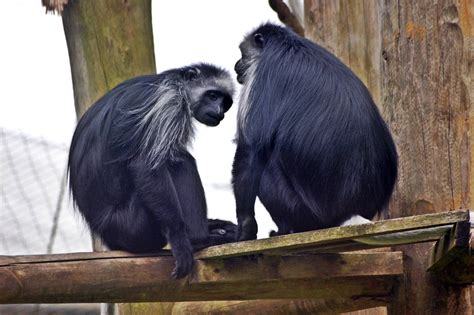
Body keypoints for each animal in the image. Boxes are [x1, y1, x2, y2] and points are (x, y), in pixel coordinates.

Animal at [68, 64, 235, 278]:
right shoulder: (168, 104)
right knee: (179, 162)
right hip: (132, 225)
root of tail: (106, 235)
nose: (219, 112)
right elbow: (145, 164)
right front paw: (181, 242)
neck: (176, 82)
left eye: (225, 103)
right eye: (213, 96)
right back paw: (199, 239)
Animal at [235, 23, 398, 241]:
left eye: (243, 55)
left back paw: (283, 230)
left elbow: (250, 151)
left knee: (266, 167)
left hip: (302, 210)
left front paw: (246, 229)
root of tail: (350, 212)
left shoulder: (261, 76)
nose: (236, 65)